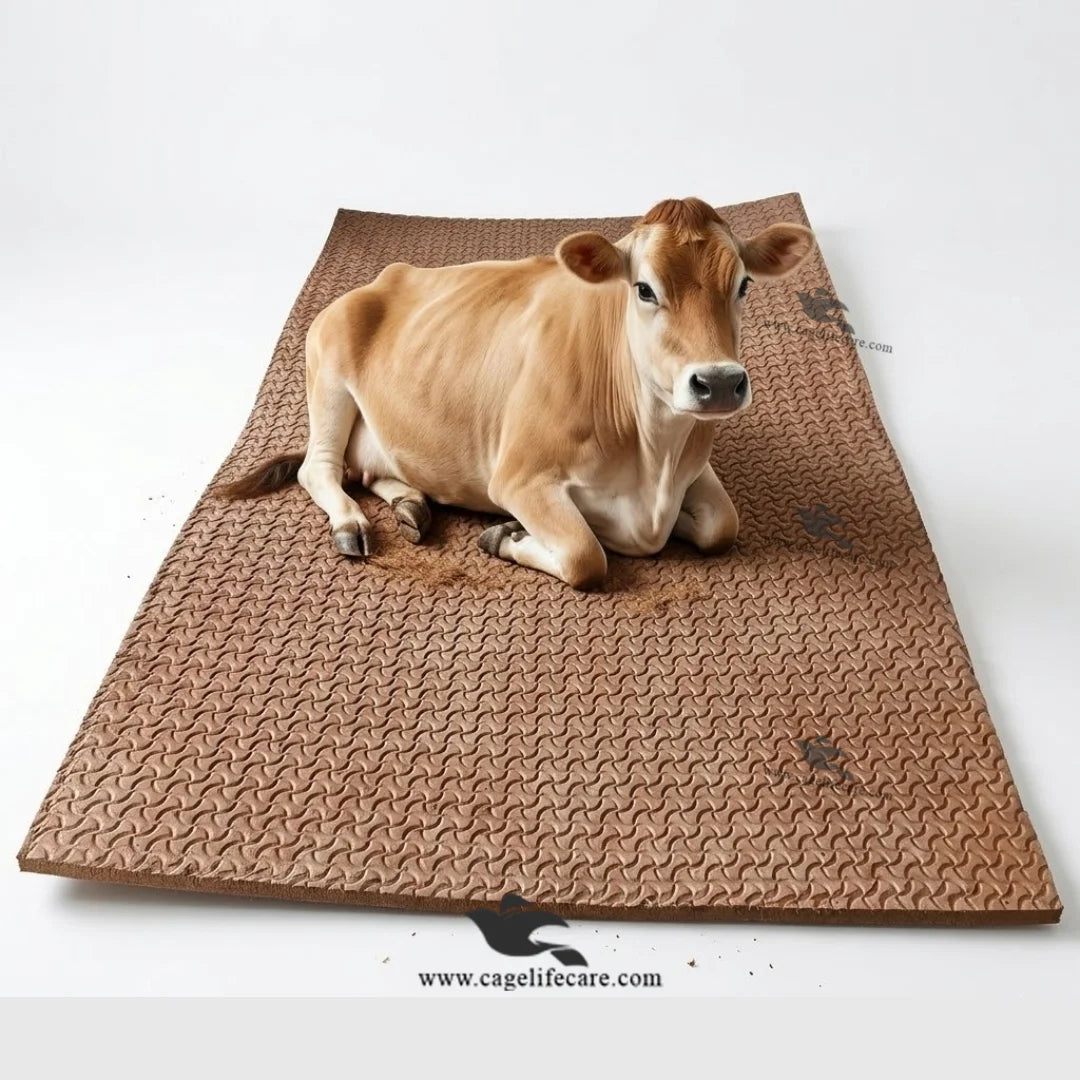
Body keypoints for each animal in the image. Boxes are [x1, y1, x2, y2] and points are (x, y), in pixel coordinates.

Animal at [220, 197, 815, 589]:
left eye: (743, 284)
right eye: (644, 289)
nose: (719, 382)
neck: (655, 454)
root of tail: (383, 278)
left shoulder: (694, 468)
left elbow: (721, 525)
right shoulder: (518, 477)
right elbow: (585, 555)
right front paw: (508, 536)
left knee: (367, 469)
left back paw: (412, 505)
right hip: (328, 376)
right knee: (318, 469)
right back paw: (351, 523)